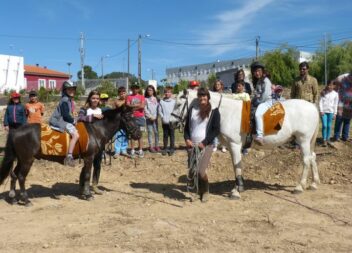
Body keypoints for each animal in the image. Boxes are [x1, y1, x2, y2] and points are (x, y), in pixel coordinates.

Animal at [0, 105, 140, 206]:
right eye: (128, 118)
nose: (138, 134)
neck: (95, 130)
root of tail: (16, 131)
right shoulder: (89, 157)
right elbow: (87, 175)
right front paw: (88, 194)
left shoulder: (86, 158)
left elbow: (83, 175)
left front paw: (83, 193)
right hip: (27, 160)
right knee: (21, 177)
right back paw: (26, 200)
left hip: (21, 159)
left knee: (13, 175)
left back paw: (13, 198)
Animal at [169, 89, 320, 200]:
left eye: (178, 104)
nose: (171, 123)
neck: (228, 113)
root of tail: (312, 106)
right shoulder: (231, 146)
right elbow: (236, 166)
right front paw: (238, 187)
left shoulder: (235, 145)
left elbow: (237, 167)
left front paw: (237, 191)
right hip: (308, 141)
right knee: (312, 157)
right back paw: (313, 184)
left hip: (303, 140)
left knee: (306, 160)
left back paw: (299, 187)